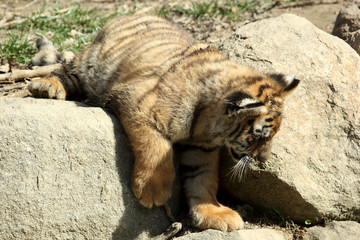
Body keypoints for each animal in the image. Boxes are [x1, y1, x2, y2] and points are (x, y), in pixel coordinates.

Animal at [27, 14, 298, 232]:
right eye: (259, 136)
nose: (264, 160)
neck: (207, 125)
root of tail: (130, 14)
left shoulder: (202, 149)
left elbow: (203, 179)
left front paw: (213, 212)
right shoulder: (137, 102)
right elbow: (156, 148)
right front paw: (152, 191)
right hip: (91, 64)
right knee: (66, 69)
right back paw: (47, 86)